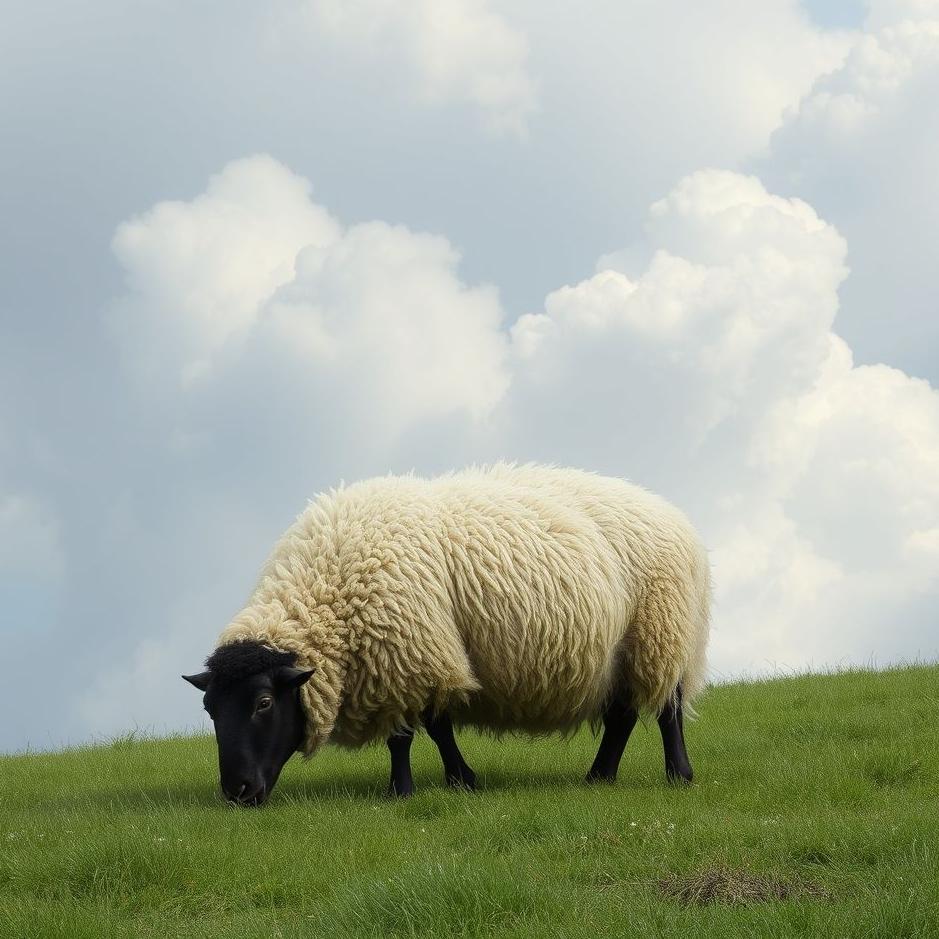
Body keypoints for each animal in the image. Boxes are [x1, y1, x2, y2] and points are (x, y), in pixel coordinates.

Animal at [183, 463, 711, 803]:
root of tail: (675, 515)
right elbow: (436, 727)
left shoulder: (406, 656)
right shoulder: (419, 653)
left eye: (263, 703)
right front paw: (459, 780)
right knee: (623, 715)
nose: (237, 792)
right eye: (210, 709)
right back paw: (599, 777)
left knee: (667, 709)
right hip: (624, 654)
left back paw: (678, 775)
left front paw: (405, 791)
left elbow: (409, 734)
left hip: (660, 633)